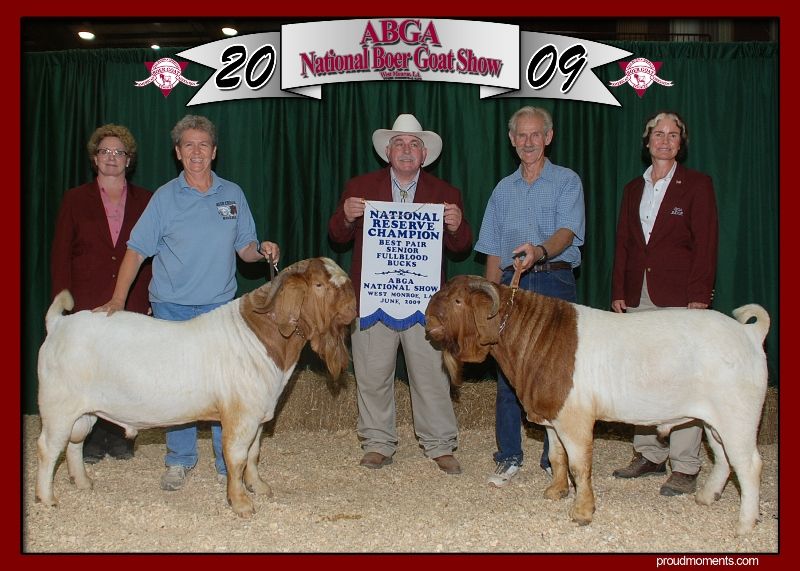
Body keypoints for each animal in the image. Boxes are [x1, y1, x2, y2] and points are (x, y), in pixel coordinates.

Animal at [36, 260, 356, 520]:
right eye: (319, 284)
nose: (353, 304)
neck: (263, 339)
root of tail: (59, 323)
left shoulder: (259, 416)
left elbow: (254, 454)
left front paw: (259, 487)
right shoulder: (241, 416)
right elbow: (237, 457)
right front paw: (241, 504)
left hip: (84, 410)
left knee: (75, 442)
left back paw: (83, 482)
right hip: (58, 407)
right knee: (48, 447)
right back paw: (47, 498)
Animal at [428, 274, 772, 540]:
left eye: (457, 301)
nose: (428, 317)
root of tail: (749, 333)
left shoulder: (575, 418)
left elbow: (580, 465)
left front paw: (582, 512)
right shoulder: (553, 417)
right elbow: (557, 457)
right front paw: (555, 492)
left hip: (738, 415)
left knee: (748, 464)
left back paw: (744, 524)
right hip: (715, 420)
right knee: (724, 457)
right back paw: (706, 497)